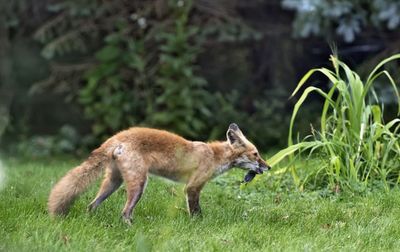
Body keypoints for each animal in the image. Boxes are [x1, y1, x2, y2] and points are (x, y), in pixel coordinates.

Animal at [48, 123, 270, 223]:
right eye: (256, 154)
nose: (269, 167)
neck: (214, 156)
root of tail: (118, 136)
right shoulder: (192, 187)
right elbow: (196, 211)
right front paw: (198, 225)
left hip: (114, 183)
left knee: (91, 205)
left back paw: (91, 220)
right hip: (139, 184)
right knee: (124, 212)